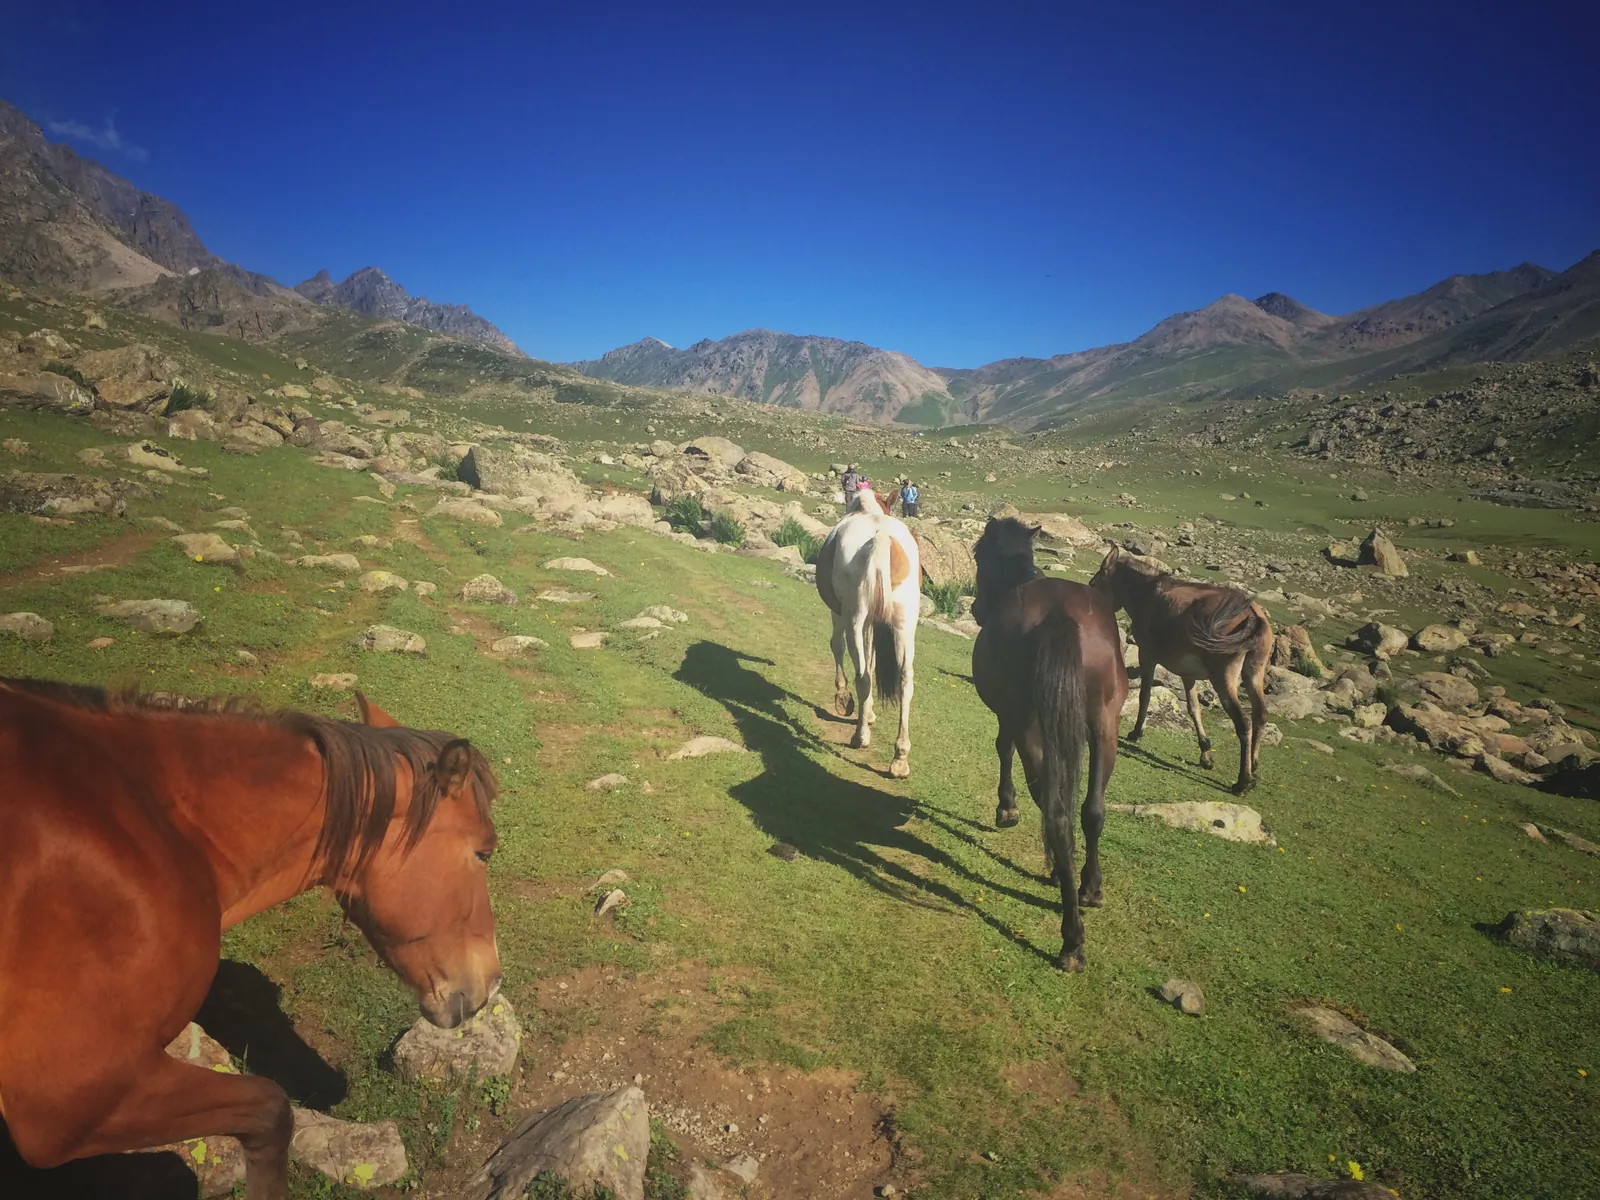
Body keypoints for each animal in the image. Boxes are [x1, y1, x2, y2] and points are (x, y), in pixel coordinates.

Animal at [814, 495, 921, 777]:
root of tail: (882, 537)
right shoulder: (874, 622)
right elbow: (871, 660)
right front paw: (870, 713)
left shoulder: (840, 613)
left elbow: (838, 646)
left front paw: (843, 697)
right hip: (905, 622)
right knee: (905, 680)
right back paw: (900, 759)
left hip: (855, 616)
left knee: (861, 676)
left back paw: (860, 736)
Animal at [970, 518, 1127, 971]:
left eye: (977, 555)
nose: (976, 609)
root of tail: (1059, 617)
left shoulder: (1009, 718)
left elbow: (1003, 750)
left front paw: (1007, 809)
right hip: (1105, 726)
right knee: (1092, 810)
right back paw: (1089, 888)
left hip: (1031, 726)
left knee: (1056, 814)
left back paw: (1071, 938)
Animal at [1089, 543, 1273, 794]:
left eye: (1093, 584)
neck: (1145, 593)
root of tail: (1253, 615)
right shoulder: (1188, 674)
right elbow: (1194, 708)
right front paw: (1205, 753)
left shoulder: (1147, 655)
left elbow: (1145, 696)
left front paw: (1137, 732)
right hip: (1254, 671)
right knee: (1260, 714)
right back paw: (1253, 768)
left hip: (1223, 676)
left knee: (1243, 722)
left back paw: (1243, 782)